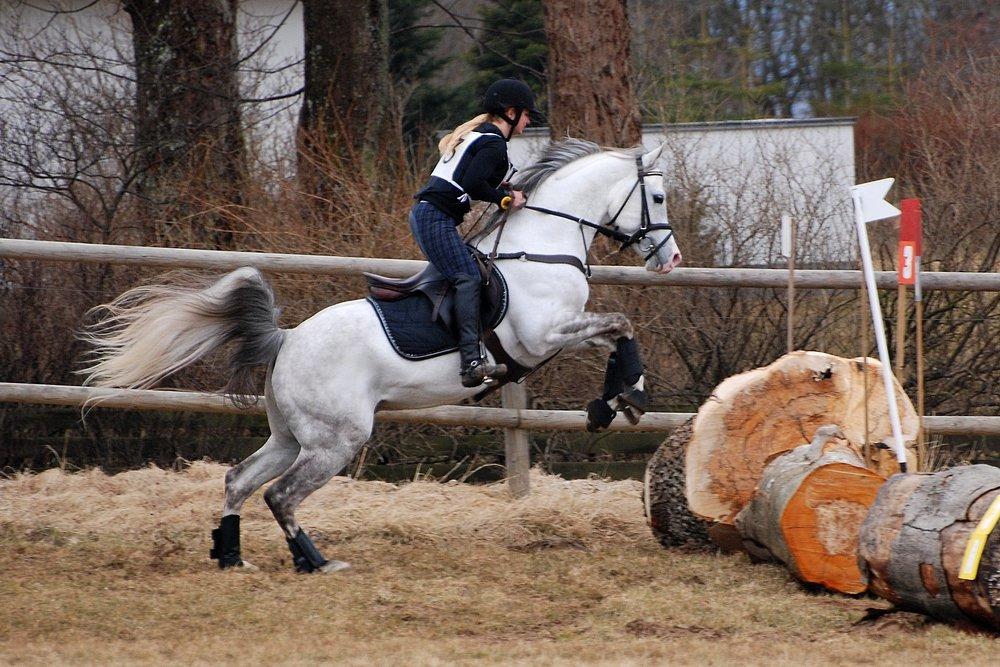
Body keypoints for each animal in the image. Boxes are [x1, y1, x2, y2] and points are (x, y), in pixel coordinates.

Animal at [82, 138, 684, 572]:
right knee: (281, 495)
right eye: (657, 198)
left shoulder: (560, 334)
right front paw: (627, 396)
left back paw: (231, 557)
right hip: (337, 439)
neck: (540, 247)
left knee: (239, 480)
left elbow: (617, 333)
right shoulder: (541, 336)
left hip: (292, 435)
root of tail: (288, 339)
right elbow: (621, 323)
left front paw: (617, 401)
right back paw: (317, 562)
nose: (671, 260)